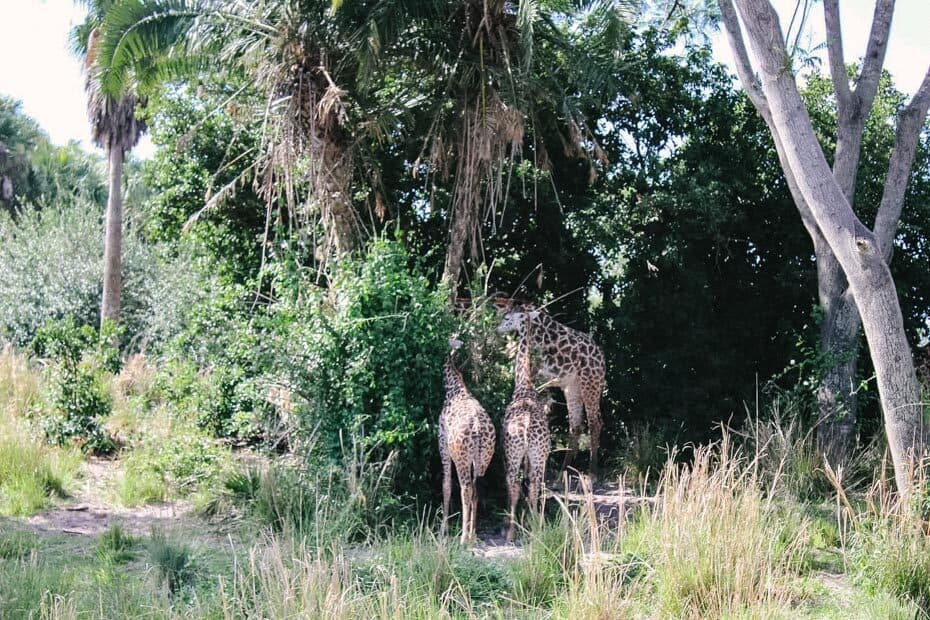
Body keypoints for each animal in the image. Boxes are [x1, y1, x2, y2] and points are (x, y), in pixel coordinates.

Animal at [438, 336, 496, 544]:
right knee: (477, 491)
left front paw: (443, 529)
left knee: (466, 489)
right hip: (484, 459)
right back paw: (472, 535)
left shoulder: (443, 446)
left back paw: (463, 538)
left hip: (461, 459)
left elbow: (446, 486)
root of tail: (478, 429)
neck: (454, 387)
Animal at [496, 308, 604, 478]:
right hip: (572, 387)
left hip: (591, 383)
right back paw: (562, 473)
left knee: (595, 423)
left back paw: (592, 473)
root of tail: (602, 359)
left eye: (506, 318)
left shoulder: (536, 374)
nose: (497, 329)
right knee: (575, 425)